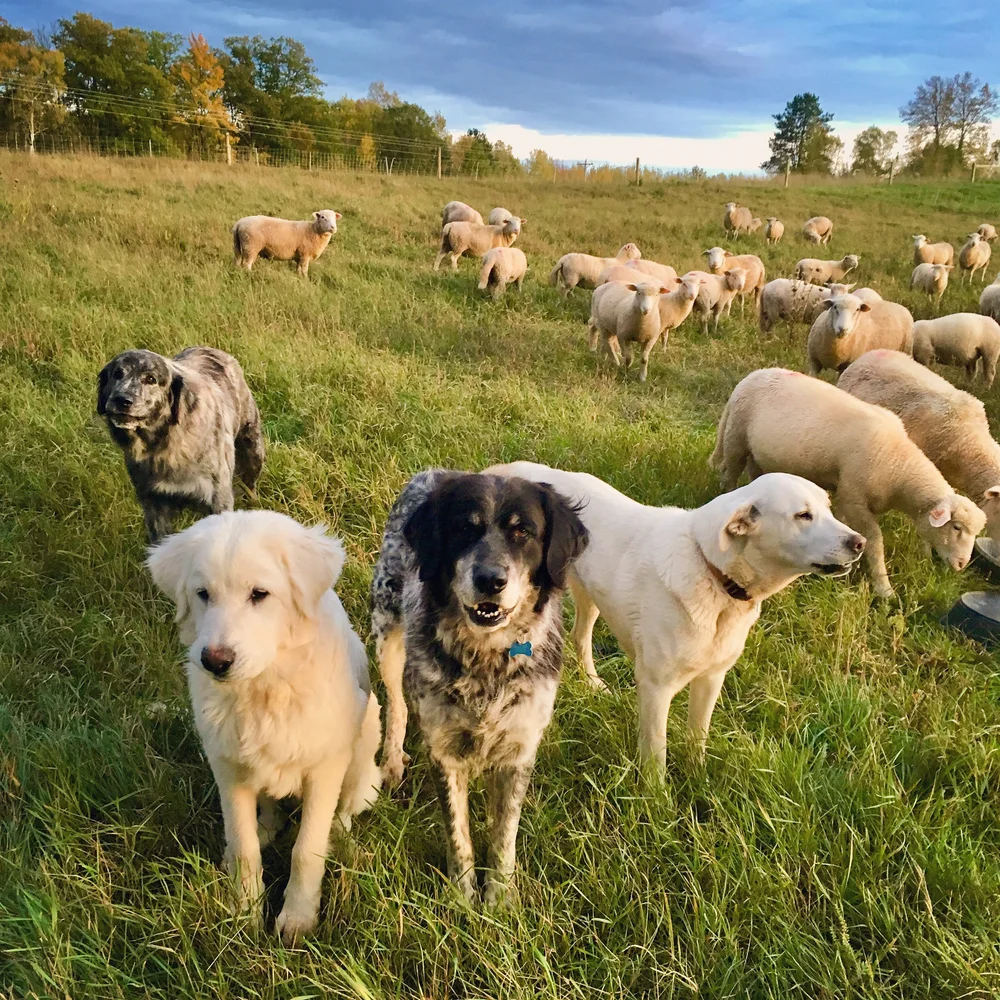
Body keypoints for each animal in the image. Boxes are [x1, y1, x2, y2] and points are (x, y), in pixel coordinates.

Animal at [710, 367, 985, 597]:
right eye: (956, 527)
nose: (961, 565)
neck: (898, 464)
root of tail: (754, 374)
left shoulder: (846, 494)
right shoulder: (855, 498)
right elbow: (874, 542)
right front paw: (884, 590)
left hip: (757, 453)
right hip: (736, 440)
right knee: (729, 473)